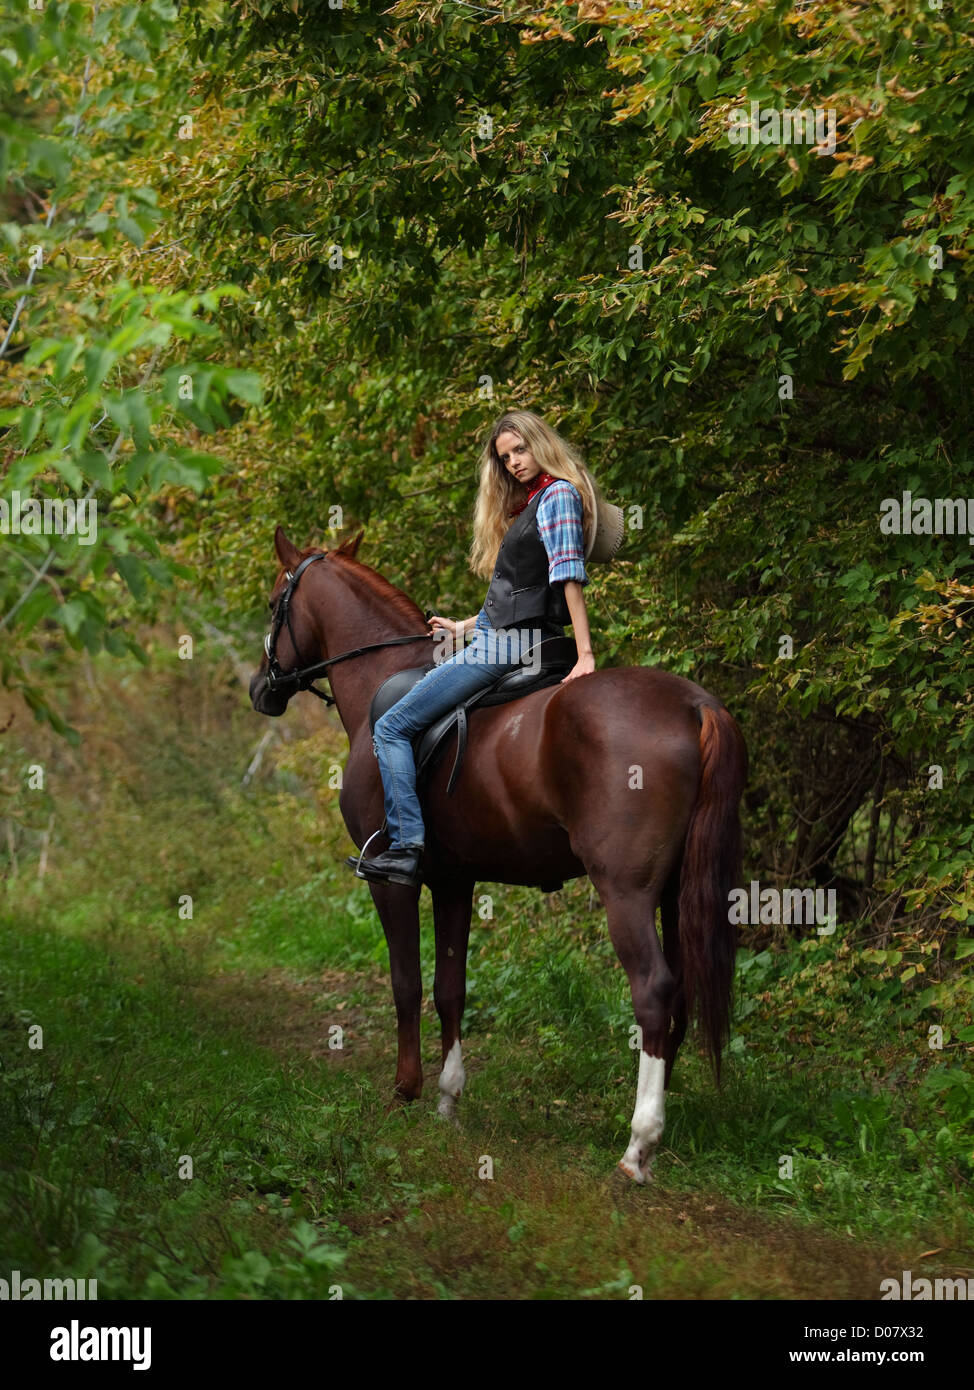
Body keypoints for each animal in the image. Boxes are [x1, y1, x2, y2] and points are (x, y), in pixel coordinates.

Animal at [248, 525, 744, 1178]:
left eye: (274, 602)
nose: (260, 688)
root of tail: (693, 705)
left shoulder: (391, 881)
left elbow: (405, 983)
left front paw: (405, 1090)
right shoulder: (454, 883)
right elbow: (449, 989)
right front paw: (447, 1098)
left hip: (627, 893)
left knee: (655, 991)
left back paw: (639, 1143)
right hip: (673, 894)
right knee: (680, 994)